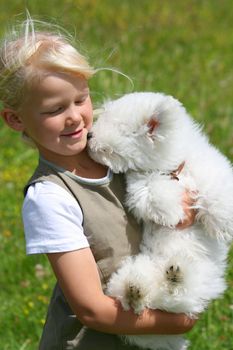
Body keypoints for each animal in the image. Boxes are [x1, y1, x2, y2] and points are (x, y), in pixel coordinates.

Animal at [88, 92, 233, 350]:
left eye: (120, 127)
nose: (89, 135)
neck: (171, 169)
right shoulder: (141, 186)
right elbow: (155, 193)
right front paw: (175, 209)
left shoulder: (212, 169)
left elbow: (217, 193)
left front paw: (220, 223)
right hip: (134, 276)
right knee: (144, 301)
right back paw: (138, 290)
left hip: (199, 281)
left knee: (177, 293)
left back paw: (173, 276)